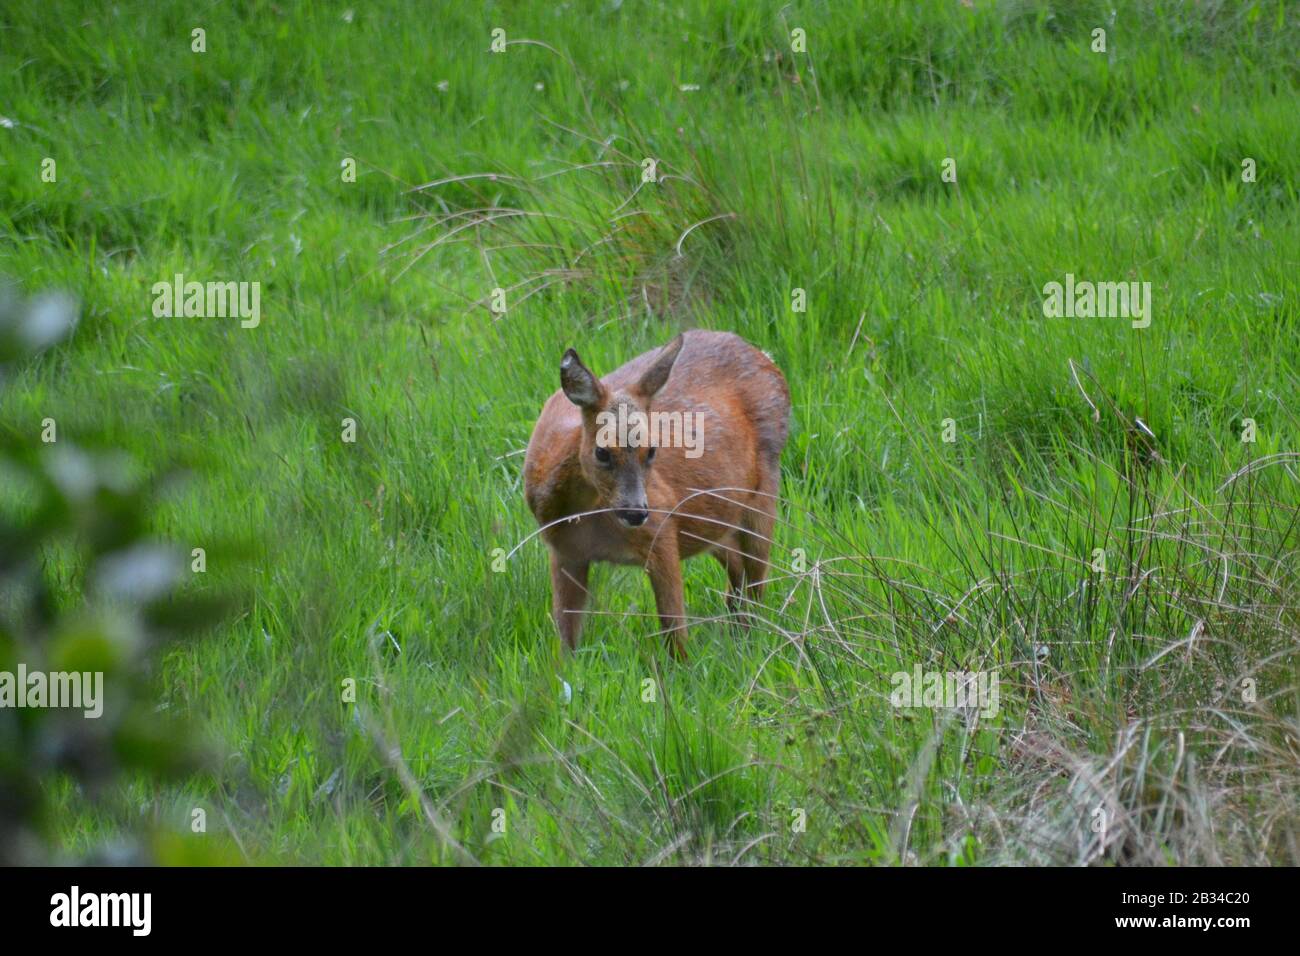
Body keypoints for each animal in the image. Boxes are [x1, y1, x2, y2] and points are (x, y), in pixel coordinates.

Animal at [520, 329, 785, 658]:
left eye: (652, 450)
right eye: (602, 451)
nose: (636, 512)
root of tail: (765, 357)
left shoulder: (662, 530)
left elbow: (674, 631)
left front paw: (681, 668)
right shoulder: (564, 550)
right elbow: (566, 640)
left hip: (764, 492)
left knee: (756, 578)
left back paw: (751, 642)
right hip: (713, 518)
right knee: (736, 566)